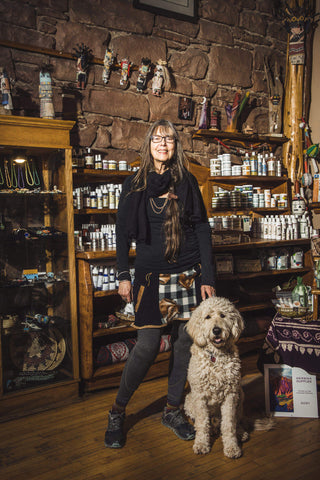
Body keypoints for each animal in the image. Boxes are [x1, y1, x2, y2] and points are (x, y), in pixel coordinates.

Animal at [184, 296, 249, 458]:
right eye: (207, 317)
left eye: (223, 315)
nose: (217, 330)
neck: (216, 356)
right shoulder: (199, 397)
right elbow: (202, 423)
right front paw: (201, 444)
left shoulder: (230, 396)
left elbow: (229, 424)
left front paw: (232, 447)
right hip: (189, 401)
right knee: (208, 422)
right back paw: (212, 429)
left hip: (240, 395)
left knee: (235, 421)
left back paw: (240, 433)